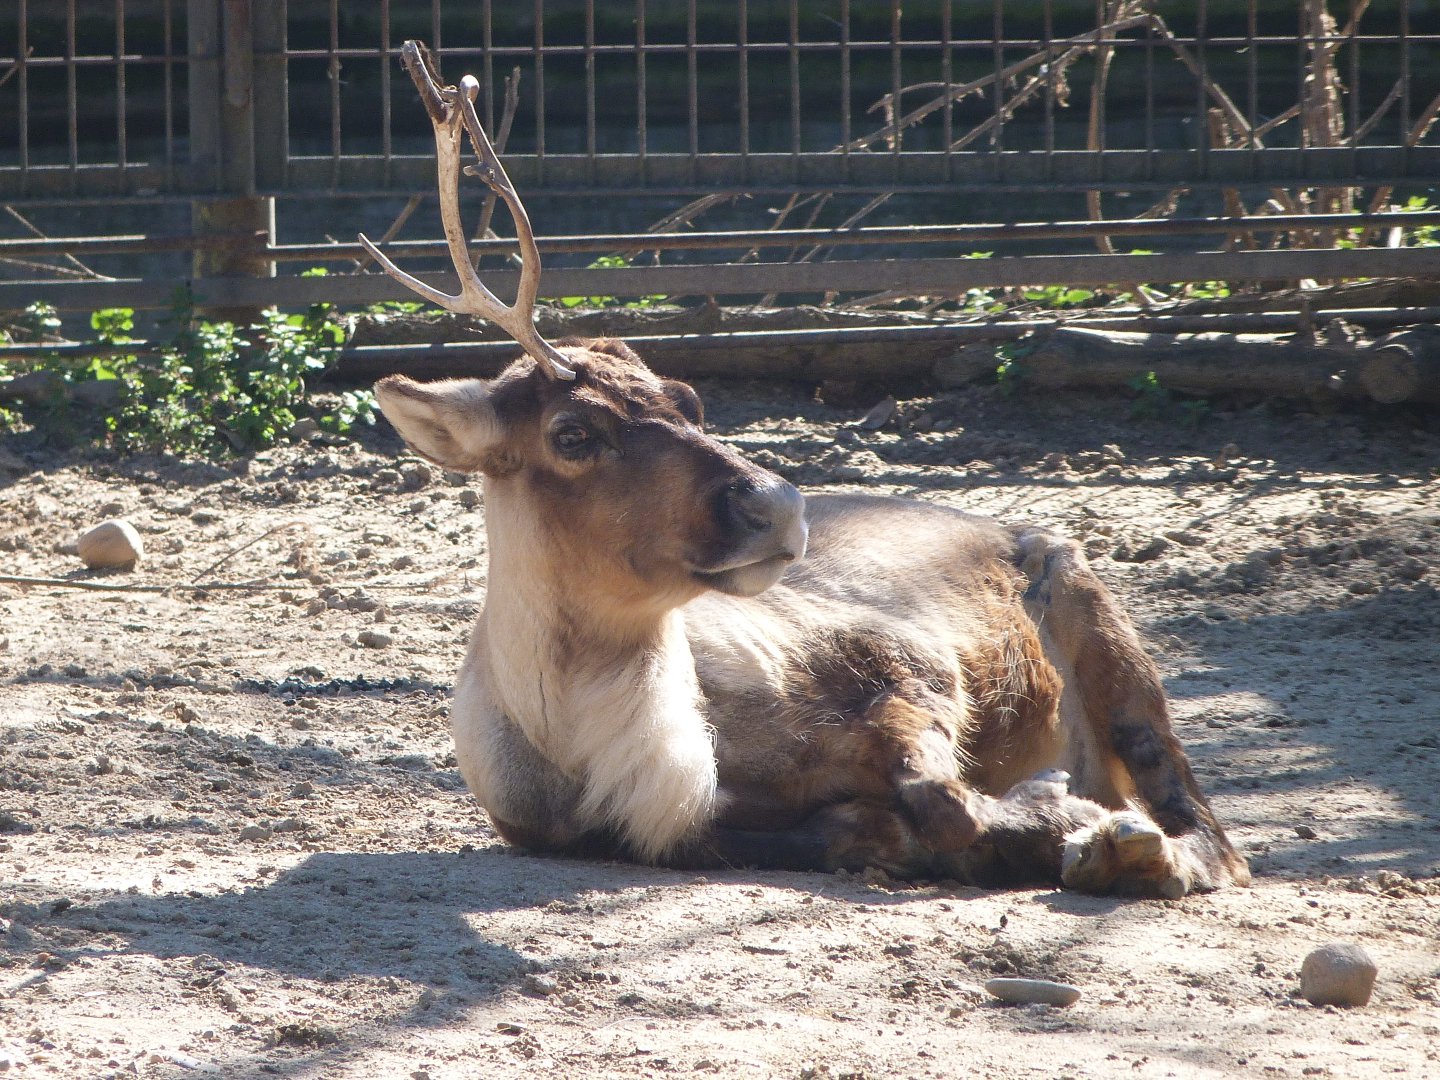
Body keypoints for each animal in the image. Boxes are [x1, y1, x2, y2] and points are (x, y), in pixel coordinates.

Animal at [362, 42, 1250, 898]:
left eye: (689, 397)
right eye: (572, 433)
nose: (779, 504)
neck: (596, 745)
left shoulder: (902, 657)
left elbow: (945, 798)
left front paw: (1050, 810)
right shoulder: (640, 830)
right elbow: (895, 822)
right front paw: (1019, 821)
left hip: (1101, 626)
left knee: (1211, 832)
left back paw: (1133, 849)